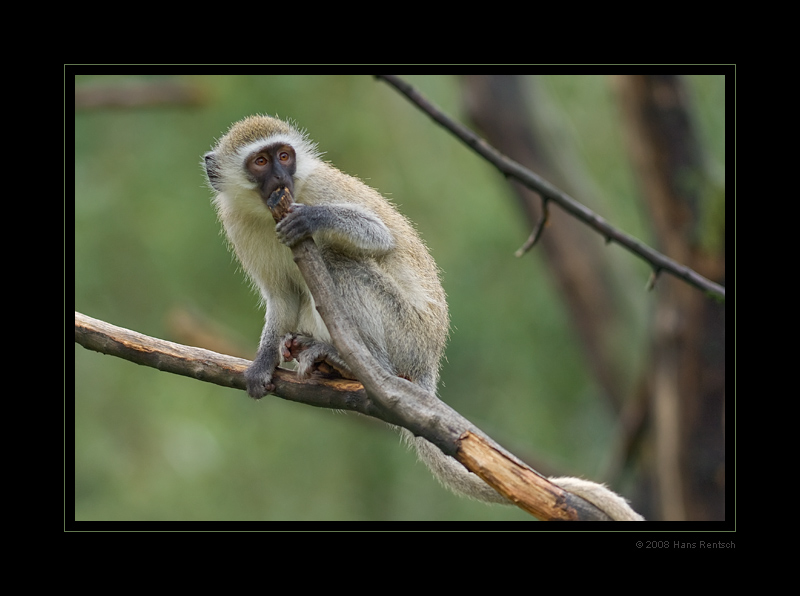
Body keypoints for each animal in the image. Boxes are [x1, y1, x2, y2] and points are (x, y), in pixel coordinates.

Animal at [205, 114, 644, 520]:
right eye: (261, 161)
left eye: (284, 156)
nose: (281, 178)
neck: (266, 212)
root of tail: (429, 360)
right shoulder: (238, 224)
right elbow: (280, 298)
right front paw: (263, 363)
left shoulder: (317, 189)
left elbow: (378, 236)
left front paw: (315, 218)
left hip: (405, 333)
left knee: (339, 260)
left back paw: (353, 362)